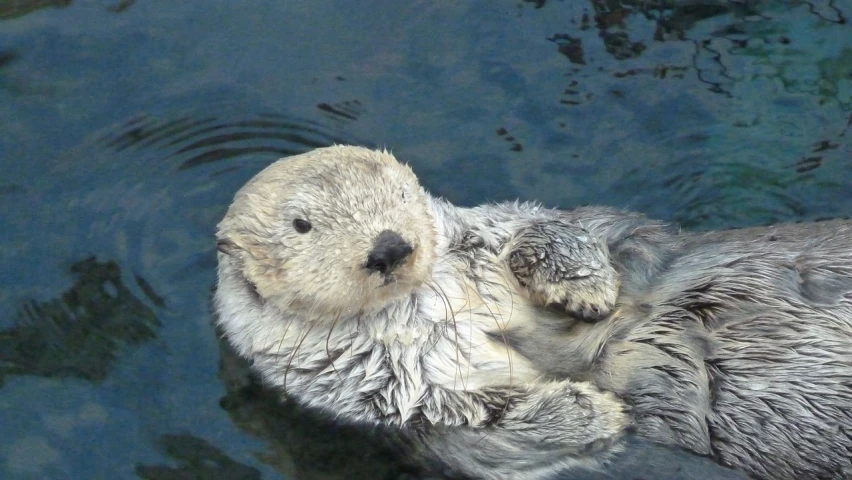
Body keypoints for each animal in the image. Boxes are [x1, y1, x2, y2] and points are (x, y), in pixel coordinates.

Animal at [216, 145, 852, 480]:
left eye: (398, 195)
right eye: (302, 225)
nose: (391, 247)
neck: (426, 304)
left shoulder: (488, 226)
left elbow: (551, 227)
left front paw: (585, 287)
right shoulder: (379, 394)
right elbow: (481, 423)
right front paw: (596, 408)